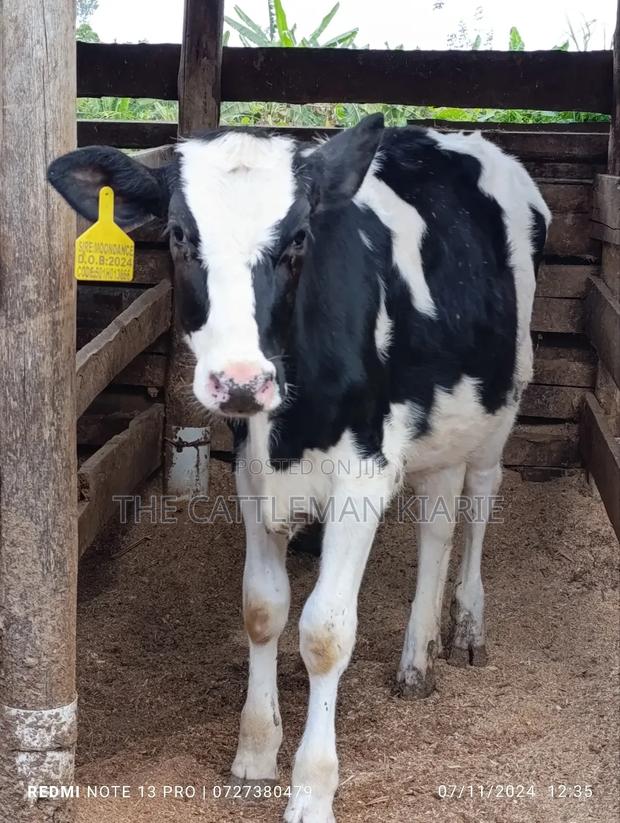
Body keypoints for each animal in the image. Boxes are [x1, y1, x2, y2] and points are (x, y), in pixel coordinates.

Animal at [48, 114, 550, 823]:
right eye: (179, 235)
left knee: (477, 504)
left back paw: (467, 627)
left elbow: (325, 633)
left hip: (503, 399)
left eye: (298, 239)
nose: (239, 381)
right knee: (437, 524)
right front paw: (256, 752)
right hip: (440, 422)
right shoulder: (251, 474)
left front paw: (312, 788)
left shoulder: (364, 476)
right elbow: (263, 609)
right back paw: (417, 658)